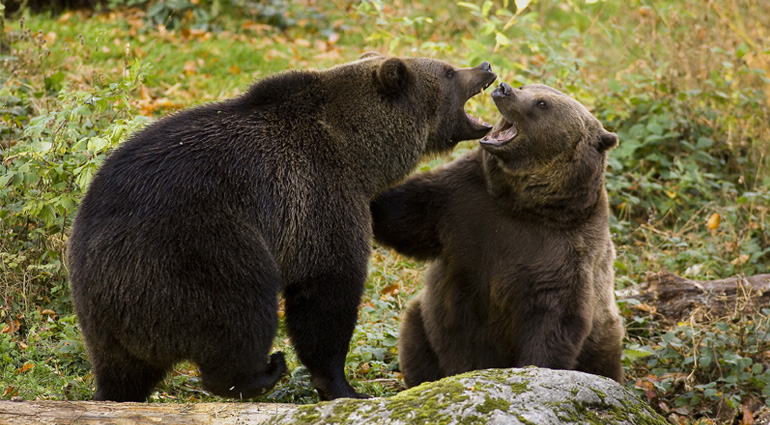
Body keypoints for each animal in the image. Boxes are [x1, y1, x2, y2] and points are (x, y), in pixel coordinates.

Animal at [67, 53, 496, 402]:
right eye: (448, 71)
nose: (486, 67)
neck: (360, 153)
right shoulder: (318, 198)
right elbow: (325, 294)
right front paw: (344, 386)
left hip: (100, 311)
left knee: (121, 370)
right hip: (193, 248)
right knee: (241, 306)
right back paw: (263, 372)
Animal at [371, 82, 624, 387]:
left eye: (542, 103)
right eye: (527, 86)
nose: (504, 89)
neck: (522, 203)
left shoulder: (565, 250)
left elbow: (554, 320)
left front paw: (534, 370)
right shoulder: (463, 201)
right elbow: (407, 215)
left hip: (603, 342)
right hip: (425, 326)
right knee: (416, 338)